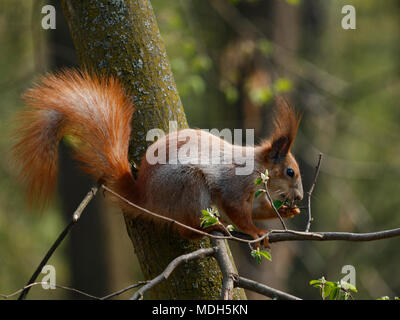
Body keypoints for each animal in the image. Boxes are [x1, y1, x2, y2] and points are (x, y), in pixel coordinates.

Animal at [11, 69, 304, 245]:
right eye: (290, 172)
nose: (300, 196)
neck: (255, 167)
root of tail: (147, 198)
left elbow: (254, 210)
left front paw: (287, 211)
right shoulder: (234, 184)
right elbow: (237, 213)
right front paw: (256, 232)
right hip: (187, 184)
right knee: (185, 230)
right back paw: (208, 229)